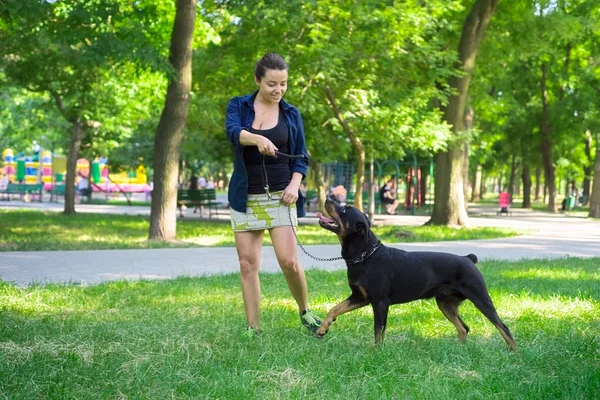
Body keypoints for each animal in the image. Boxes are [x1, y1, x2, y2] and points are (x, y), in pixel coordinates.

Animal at [316, 198, 516, 352]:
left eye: (345, 209)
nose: (328, 198)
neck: (365, 255)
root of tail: (468, 259)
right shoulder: (359, 297)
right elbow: (335, 308)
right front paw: (322, 328)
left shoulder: (380, 302)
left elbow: (378, 330)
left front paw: (376, 351)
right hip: (445, 303)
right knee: (464, 328)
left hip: (480, 297)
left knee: (502, 326)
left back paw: (514, 352)